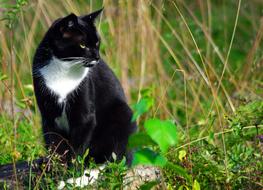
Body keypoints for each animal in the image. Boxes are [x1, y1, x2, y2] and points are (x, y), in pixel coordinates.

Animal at [32, 8, 137, 166]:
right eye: (82, 45)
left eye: (97, 42)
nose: (97, 57)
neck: (64, 69)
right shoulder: (48, 114)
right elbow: (54, 142)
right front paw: (55, 165)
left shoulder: (85, 114)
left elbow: (78, 146)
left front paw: (73, 166)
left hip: (123, 113)